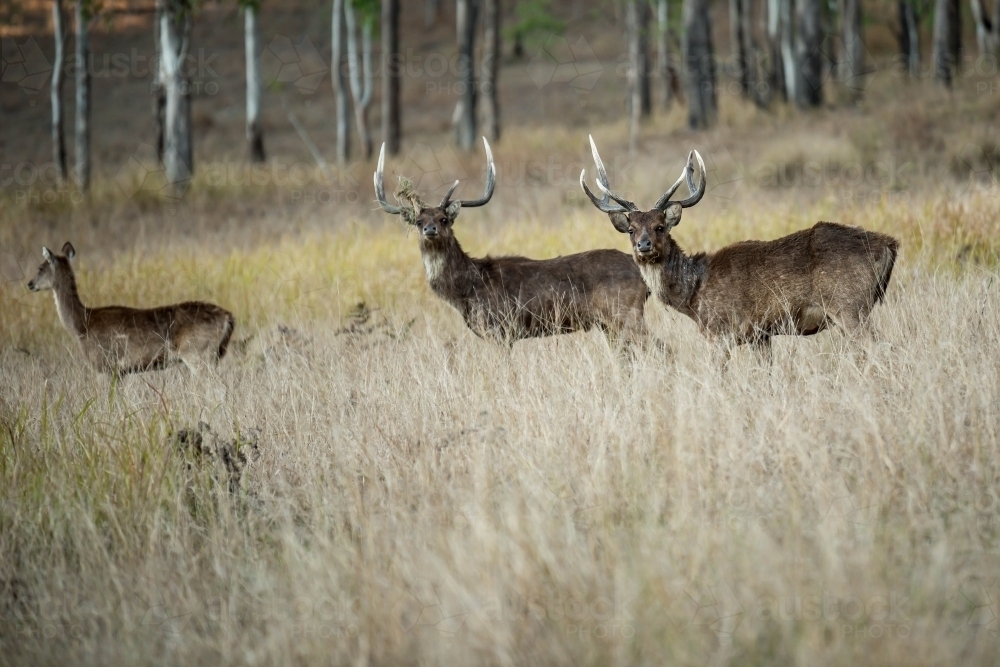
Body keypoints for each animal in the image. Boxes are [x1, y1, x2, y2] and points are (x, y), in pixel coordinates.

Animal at [26, 243, 237, 376]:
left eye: (40, 268)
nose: (30, 284)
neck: (81, 324)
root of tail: (228, 316)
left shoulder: (106, 365)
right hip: (213, 355)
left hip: (198, 353)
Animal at [372, 138, 652, 352]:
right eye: (419, 221)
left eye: (444, 219)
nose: (430, 230)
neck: (466, 291)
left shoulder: (500, 329)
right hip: (610, 324)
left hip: (625, 311)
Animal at [580, 135, 900, 360]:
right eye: (631, 229)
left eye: (660, 226)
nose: (643, 245)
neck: (694, 296)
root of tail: (889, 243)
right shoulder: (761, 334)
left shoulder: (719, 332)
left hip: (848, 304)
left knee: (881, 348)